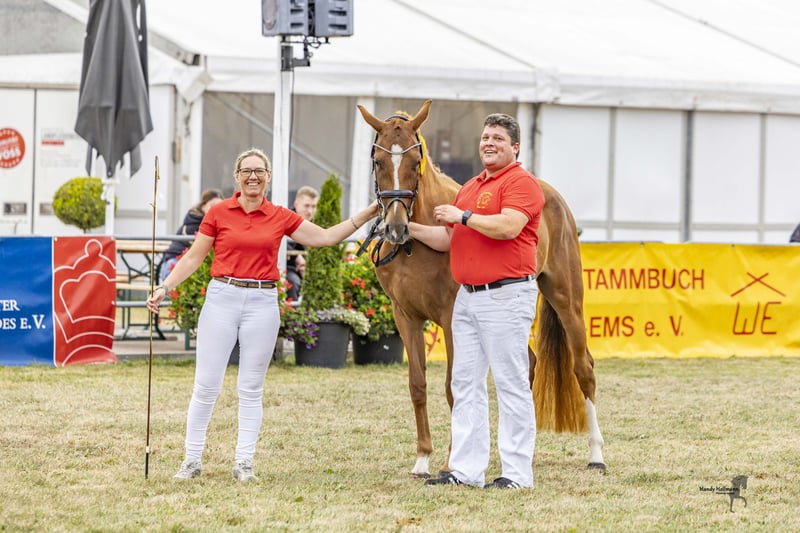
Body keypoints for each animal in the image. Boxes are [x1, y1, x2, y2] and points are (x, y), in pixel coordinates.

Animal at [357, 99, 606, 477]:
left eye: (415, 164)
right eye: (378, 162)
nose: (396, 229)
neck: (418, 244)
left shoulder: (449, 319)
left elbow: (453, 388)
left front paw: (450, 463)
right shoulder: (405, 317)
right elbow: (418, 385)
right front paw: (422, 459)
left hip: (567, 299)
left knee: (584, 368)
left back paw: (596, 455)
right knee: (528, 365)